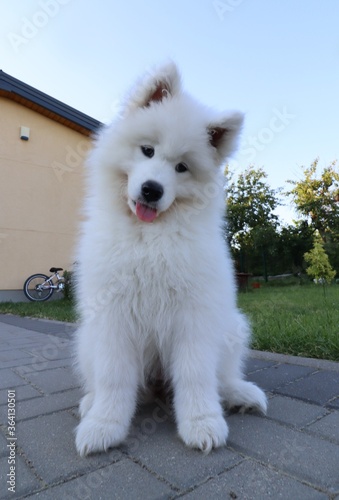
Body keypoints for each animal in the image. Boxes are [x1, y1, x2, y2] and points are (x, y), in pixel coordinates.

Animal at [75, 60, 268, 456]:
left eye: (182, 167)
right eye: (147, 150)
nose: (152, 190)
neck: (150, 237)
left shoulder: (194, 317)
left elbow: (196, 376)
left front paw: (202, 423)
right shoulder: (112, 317)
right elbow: (114, 378)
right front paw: (103, 426)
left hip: (232, 327)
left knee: (222, 377)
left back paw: (239, 394)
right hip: (86, 338)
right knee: (103, 381)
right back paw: (90, 403)